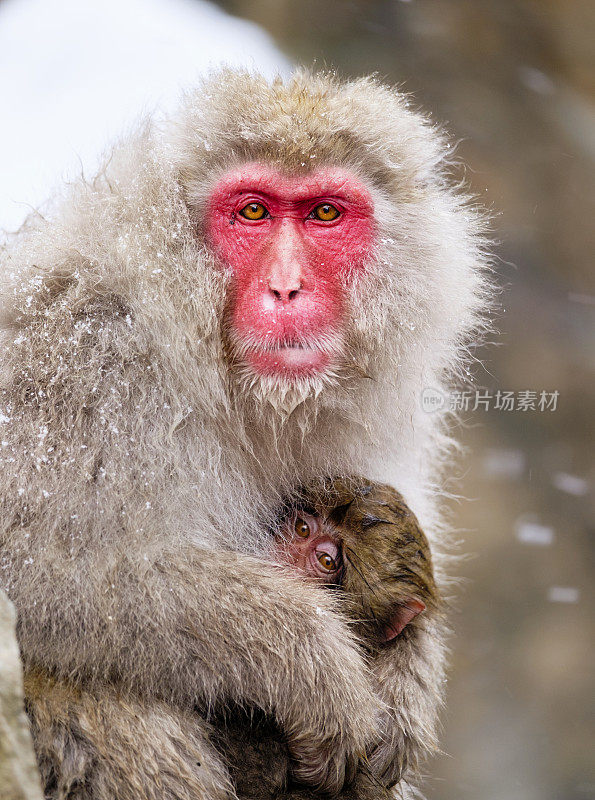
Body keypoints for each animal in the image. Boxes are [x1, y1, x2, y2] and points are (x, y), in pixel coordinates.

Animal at [0, 70, 488, 800]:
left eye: (324, 214)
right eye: (253, 213)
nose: (286, 288)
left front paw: (409, 672)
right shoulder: (73, 357)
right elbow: (44, 569)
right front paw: (307, 659)